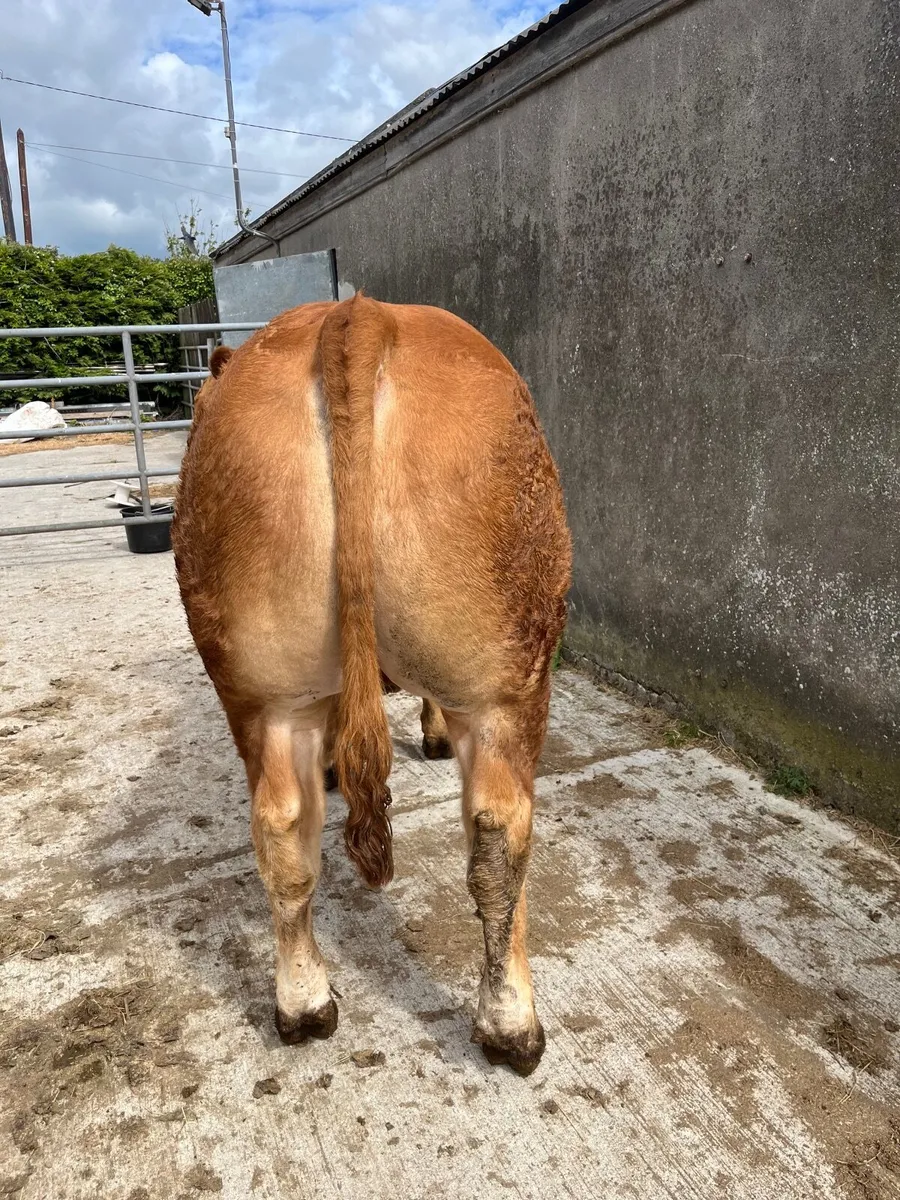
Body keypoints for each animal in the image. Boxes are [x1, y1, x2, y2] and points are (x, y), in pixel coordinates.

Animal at [172, 295, 571, 1075]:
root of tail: (359, 315)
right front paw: (432, 734)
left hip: (264, 693)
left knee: (282, 835)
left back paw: (303, 1006)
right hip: (511, 684)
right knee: (500, 840)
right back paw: (513, 1026)